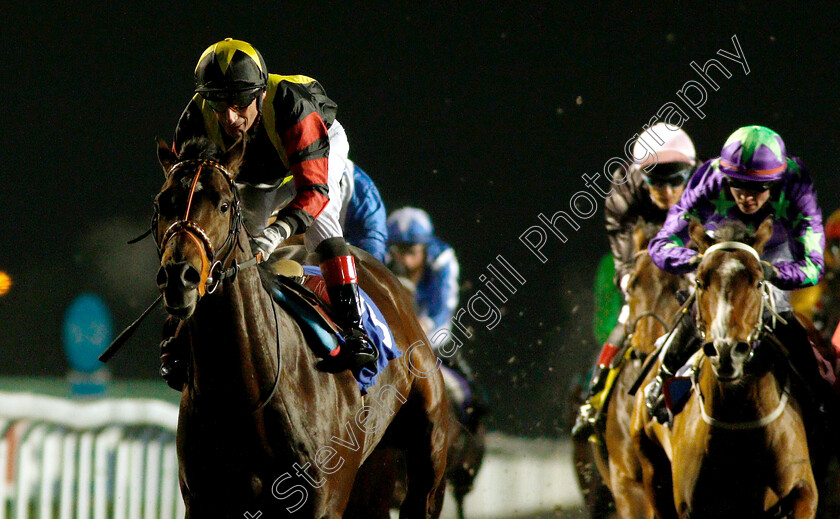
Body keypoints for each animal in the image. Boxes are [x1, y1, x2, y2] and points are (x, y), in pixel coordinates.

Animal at [154, 136, 450, 516]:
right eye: (163, 203)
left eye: (223, 204)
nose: (180, 276)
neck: (245, 395)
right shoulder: (203, 501)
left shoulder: (323, 503)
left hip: (427, 459)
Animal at [632, 218, 816, 519]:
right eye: (699, 281)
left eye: (758, 281)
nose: (726, 351)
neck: (739, 419)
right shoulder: (690, 505)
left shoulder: (802, 490)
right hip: (651, 470)